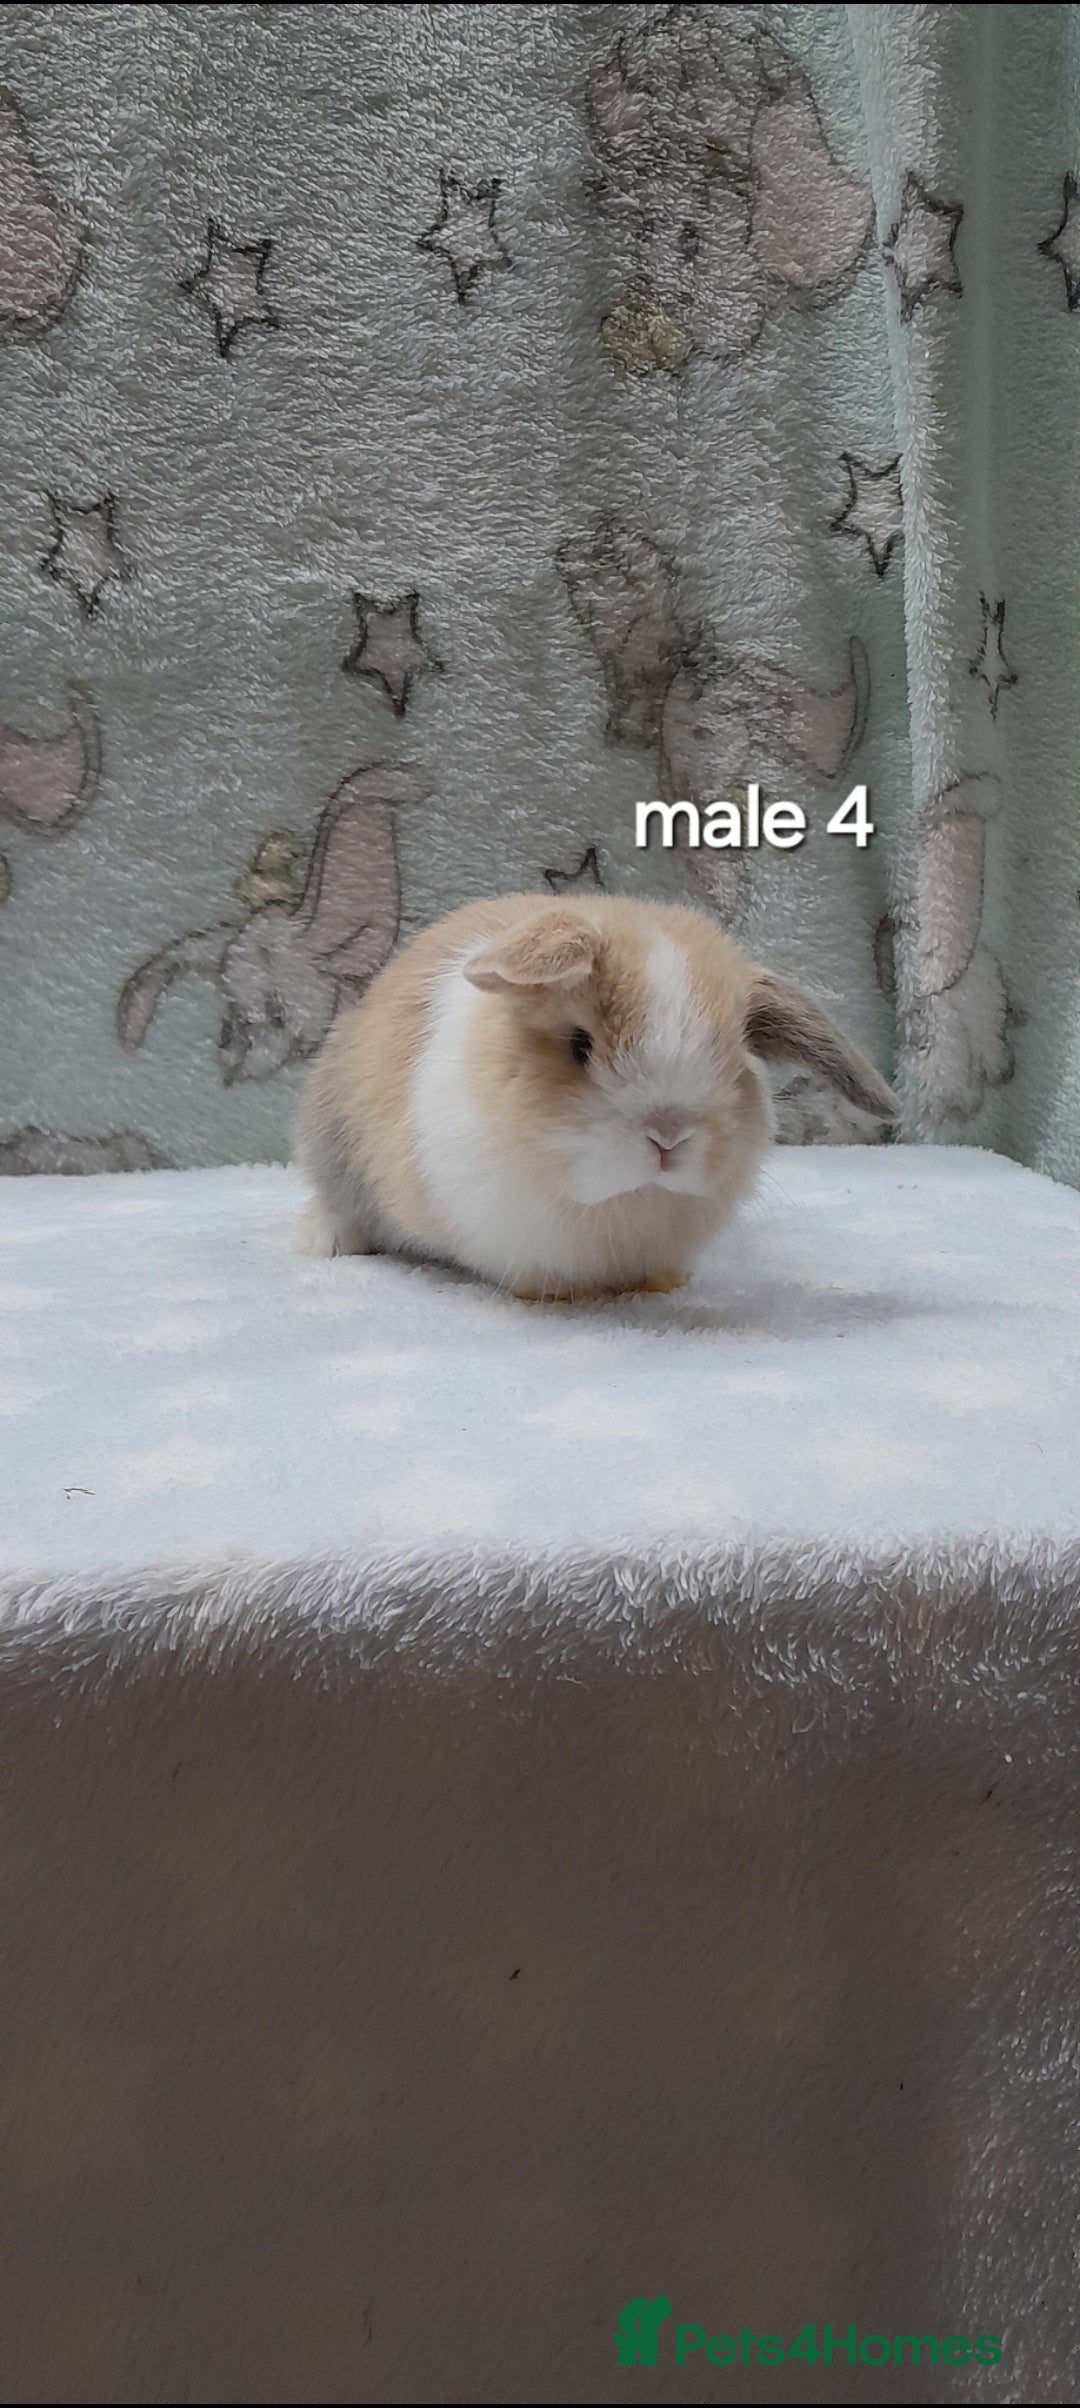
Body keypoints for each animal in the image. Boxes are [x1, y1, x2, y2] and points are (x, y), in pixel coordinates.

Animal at [295, 893, 896, 1302]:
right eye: (579, 1046)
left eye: (734, 1059)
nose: (668, 1136)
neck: (623, 1204)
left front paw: (667, 1282)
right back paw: (329, 1241)